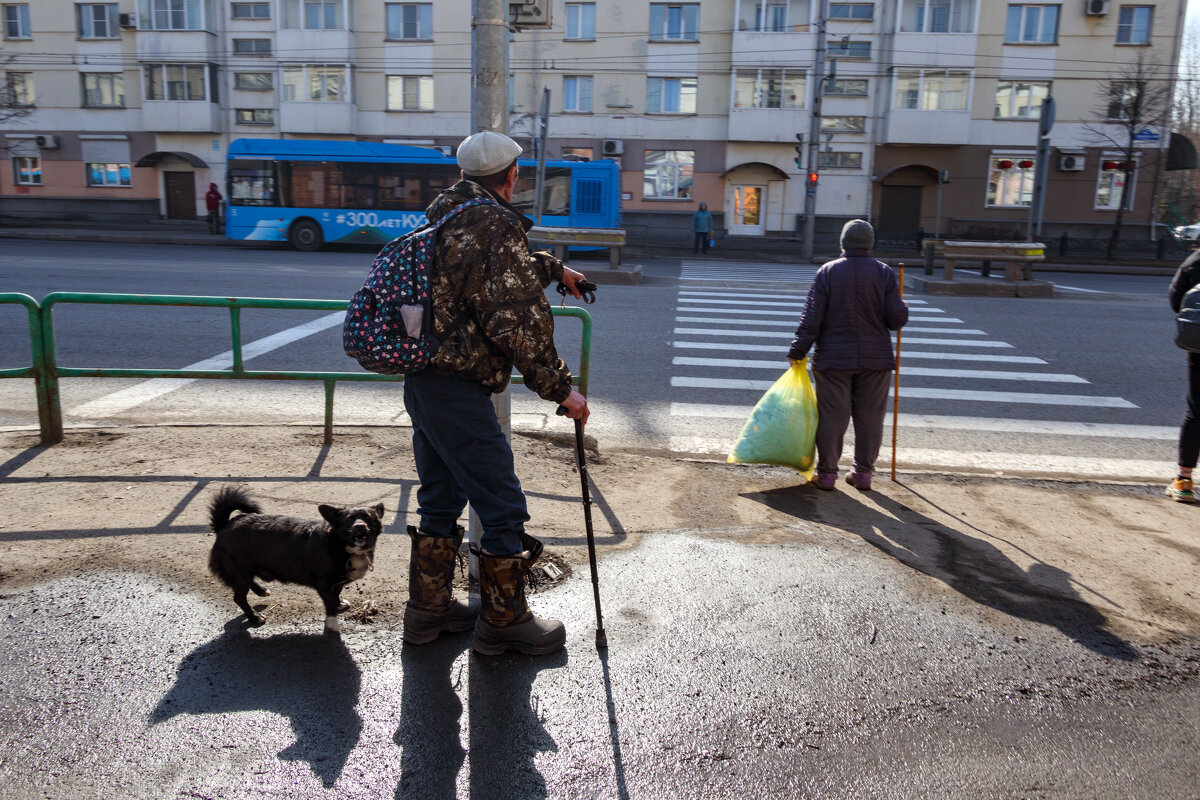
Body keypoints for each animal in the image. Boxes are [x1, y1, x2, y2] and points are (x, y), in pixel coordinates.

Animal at [206, 489, 384, 633]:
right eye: (349, 519)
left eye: (368, 517)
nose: (360, 526)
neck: (340, 545)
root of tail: (225, 524)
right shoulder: (324, 585)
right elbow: (329, 605)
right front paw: (332, 624)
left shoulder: (337, 583)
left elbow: (336, 595)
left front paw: (339, 603)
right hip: (240, 572)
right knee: (239, 598)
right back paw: (254, 617)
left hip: (244, 572)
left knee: (249, 584)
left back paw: (261, 590)